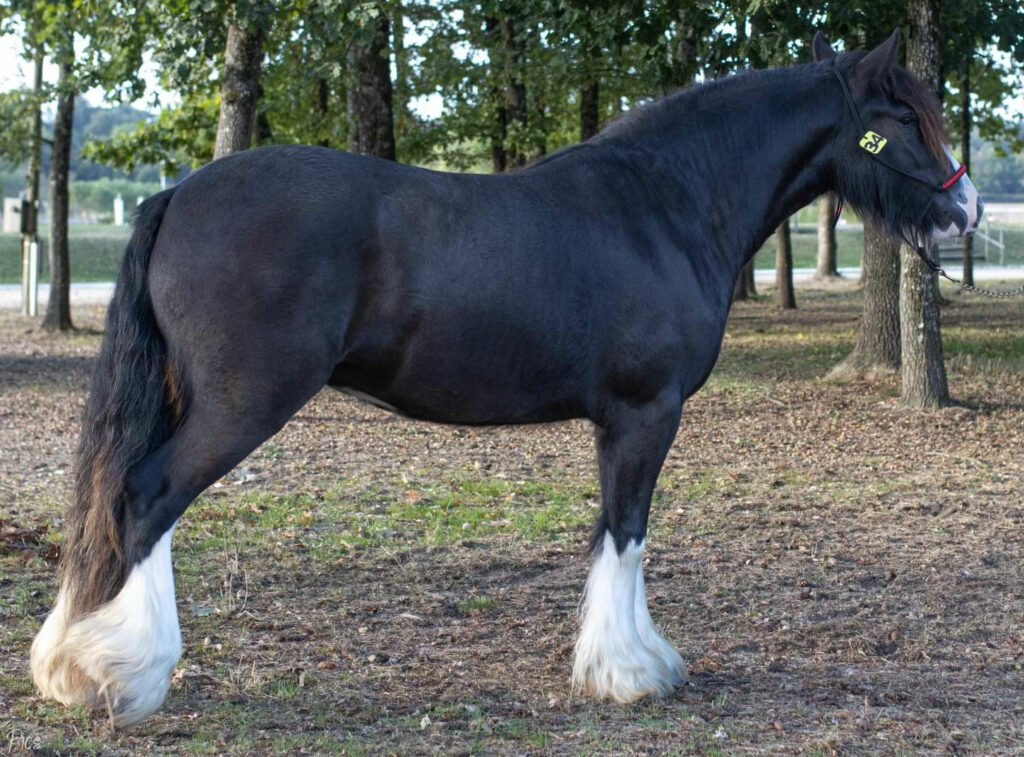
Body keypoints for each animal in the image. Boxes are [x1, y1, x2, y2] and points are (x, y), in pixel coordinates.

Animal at [32, 31, 978, 729]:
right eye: (901, 113)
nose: (965, 210)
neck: (666, 204)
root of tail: (178, 195)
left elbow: (611, 533)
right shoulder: (644, 412)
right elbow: (627, 531)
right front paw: (629, 671)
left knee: (119, 503)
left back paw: (73, 663)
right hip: (239, 405)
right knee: (148, 497)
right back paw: (125, 674)